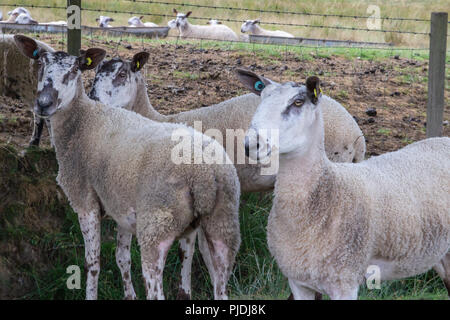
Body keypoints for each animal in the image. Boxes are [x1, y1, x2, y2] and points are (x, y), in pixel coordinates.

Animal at [14, 35, 241, 300]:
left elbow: (92, 263)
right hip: (223, 225)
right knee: (221, 285)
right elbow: (122, 257)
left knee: (155, 288)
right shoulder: (121, 208)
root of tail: (205, 174)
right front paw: (129, 294)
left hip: (156, 227)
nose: (43, 104)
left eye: (73, 71)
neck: (81, 120)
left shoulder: (85, 201)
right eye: (40, 64)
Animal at [243, 75, 450, 300]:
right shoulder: (298, 281)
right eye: (261, 97)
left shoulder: (345, 281)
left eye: (298, 102)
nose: (250, 144)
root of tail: (443, 139)